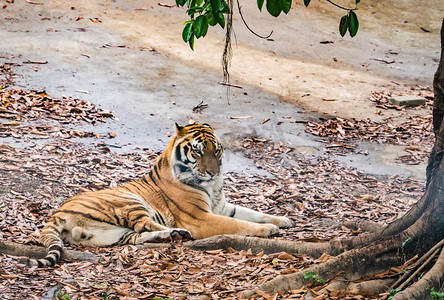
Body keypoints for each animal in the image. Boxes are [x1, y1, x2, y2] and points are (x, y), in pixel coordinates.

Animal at [26, 122, 292, 268]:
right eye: (197, 151)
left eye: (216, 150)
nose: (213, 172)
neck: (211, 186)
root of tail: (57, 213)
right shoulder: (202, 218)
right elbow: (238, 224)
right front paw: (268, 230)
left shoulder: (222, 207)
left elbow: (254, 212)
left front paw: (282, 220)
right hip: (130, 202)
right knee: (144, 225)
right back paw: (179, 232)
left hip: (110, 235)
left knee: (137, 236)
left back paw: (174, 234)